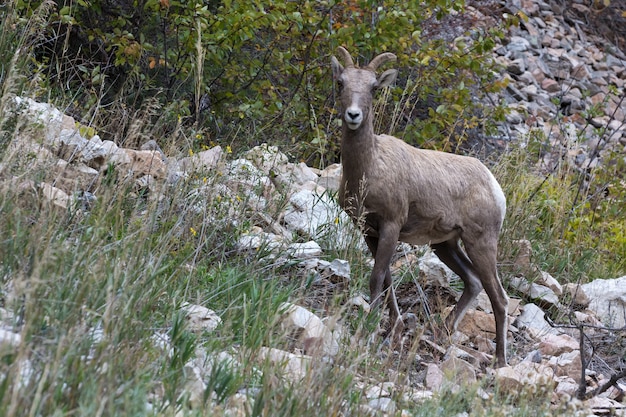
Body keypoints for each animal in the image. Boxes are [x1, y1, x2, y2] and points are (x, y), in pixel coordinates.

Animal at [332, 47, 508, 366]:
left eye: (373, 88)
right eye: (341, 83)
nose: (353, 115)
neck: (370, 167)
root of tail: (494, 186)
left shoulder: (391, 226)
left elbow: (377, 278)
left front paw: (371, 330)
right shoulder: (370, 231)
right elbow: (387, 280)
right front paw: (394, 328)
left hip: (480, 243)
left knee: (499, 298)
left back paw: (501, 362)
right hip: (446, 245)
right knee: (474, 282)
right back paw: (443, 331)